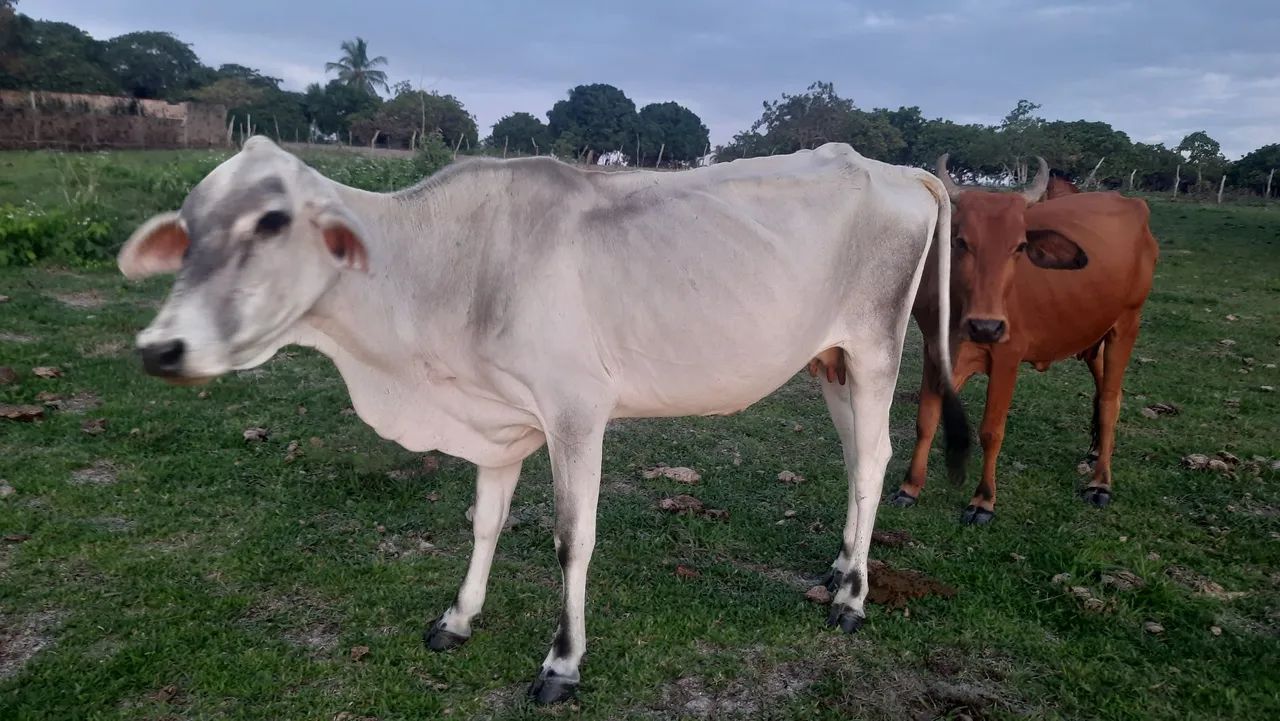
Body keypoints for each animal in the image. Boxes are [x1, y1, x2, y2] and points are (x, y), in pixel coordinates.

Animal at [117, 137, 970, 704]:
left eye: (270, 221)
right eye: (189, 226)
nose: (162, 347)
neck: (451, 268)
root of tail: (897, 168)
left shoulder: (576, 412)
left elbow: (571, 539)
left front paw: (562, 662)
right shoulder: (496, 420)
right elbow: (484, 520)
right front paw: (458, 616)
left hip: (874, 347)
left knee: (873, 459)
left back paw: (853, 598)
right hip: (829, 359)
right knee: (854, 456)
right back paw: (839, 566)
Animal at [887, 154, 1158, 524]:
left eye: (1019, 247)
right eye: (960, 242)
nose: (986, 327)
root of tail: (1132, 204)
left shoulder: (1007, 359)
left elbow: (991, 431)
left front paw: (983, 501)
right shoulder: (934, 350)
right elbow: (926, 420)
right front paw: (910, 487)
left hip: (1127, 324)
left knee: (1110, 400)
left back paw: (1100, 482)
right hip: (1094, 333)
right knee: (1105, 392)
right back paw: (1094, 452)